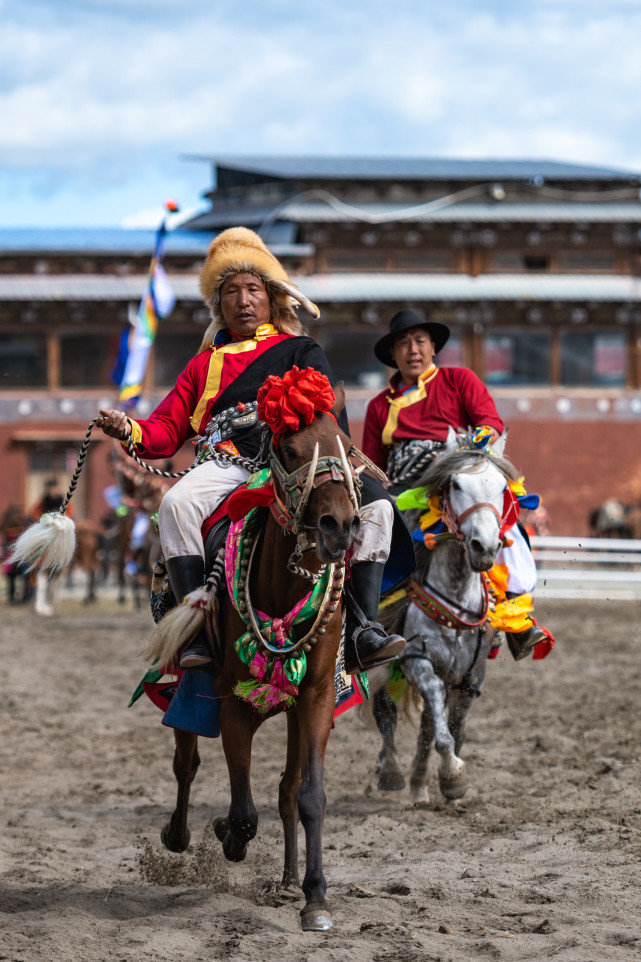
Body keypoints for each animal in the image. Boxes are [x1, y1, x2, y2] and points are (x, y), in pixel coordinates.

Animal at [158, 392, 362, 928]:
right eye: (290, 450)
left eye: (345, 442)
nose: (339, 526)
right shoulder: (231, 704)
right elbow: (244, 815)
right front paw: (227, 835)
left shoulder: (316, 699)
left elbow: (309, 796)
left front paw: (316, 896)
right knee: (186, 764)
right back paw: (179, 833)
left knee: (287, 789)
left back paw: (290, 880)